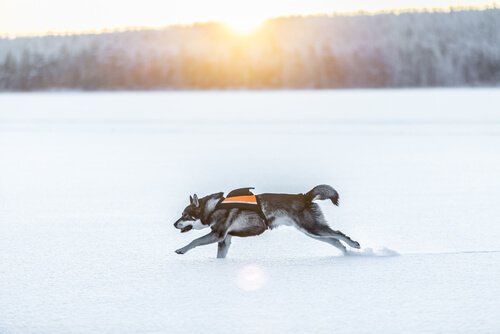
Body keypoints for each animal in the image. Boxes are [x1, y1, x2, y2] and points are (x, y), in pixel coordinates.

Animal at [173, 185, 360, 258]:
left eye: (185, 215)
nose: (174, 224)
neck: (212, 208)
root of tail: (304, 196)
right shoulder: (224, 239)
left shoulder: (217, 234)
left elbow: (195, 240)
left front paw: (181, 249)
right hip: (311, 231)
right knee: (335, 240)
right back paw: (346, 252)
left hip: (312, 228)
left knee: (338, 234)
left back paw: (355, 244)